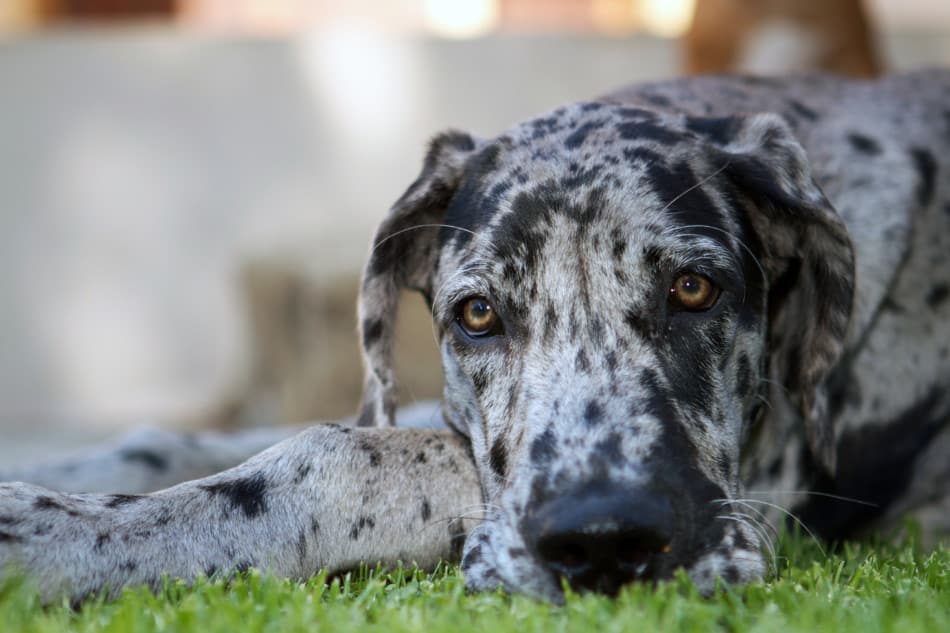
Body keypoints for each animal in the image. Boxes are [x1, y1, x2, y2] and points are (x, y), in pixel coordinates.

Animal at [1, 69, 950, 604]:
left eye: (693, 288)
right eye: (479, 314)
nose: (604, 544)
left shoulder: (767, 478)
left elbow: (339, 455)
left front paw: (58, 541)